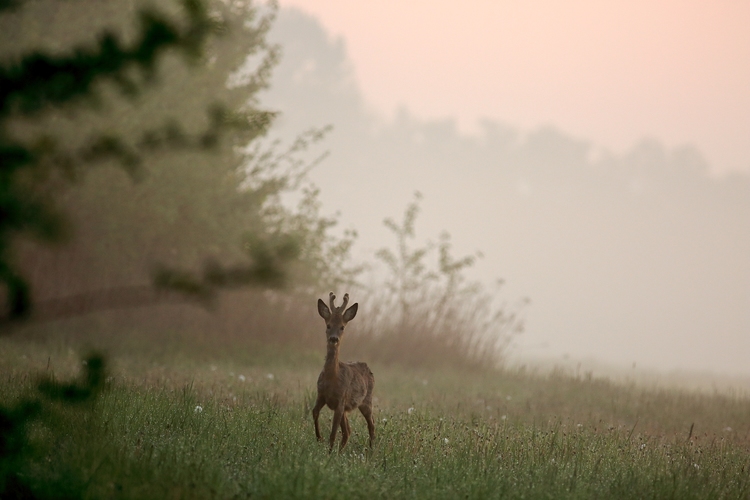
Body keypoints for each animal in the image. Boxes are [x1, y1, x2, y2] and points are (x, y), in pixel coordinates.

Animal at [314, 292, 378, 452]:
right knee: (347, 431)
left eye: (342, 327)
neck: (332, 378)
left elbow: (333, 432)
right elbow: (314, 413)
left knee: (372, 424)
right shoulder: (321, 395)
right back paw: (340, 451)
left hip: (366, 401)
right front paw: (319, 438)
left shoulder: (340, 401)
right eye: (328, 326)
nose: (334, 339)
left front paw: (328, 452)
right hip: (347, 409)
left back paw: (371, 451)